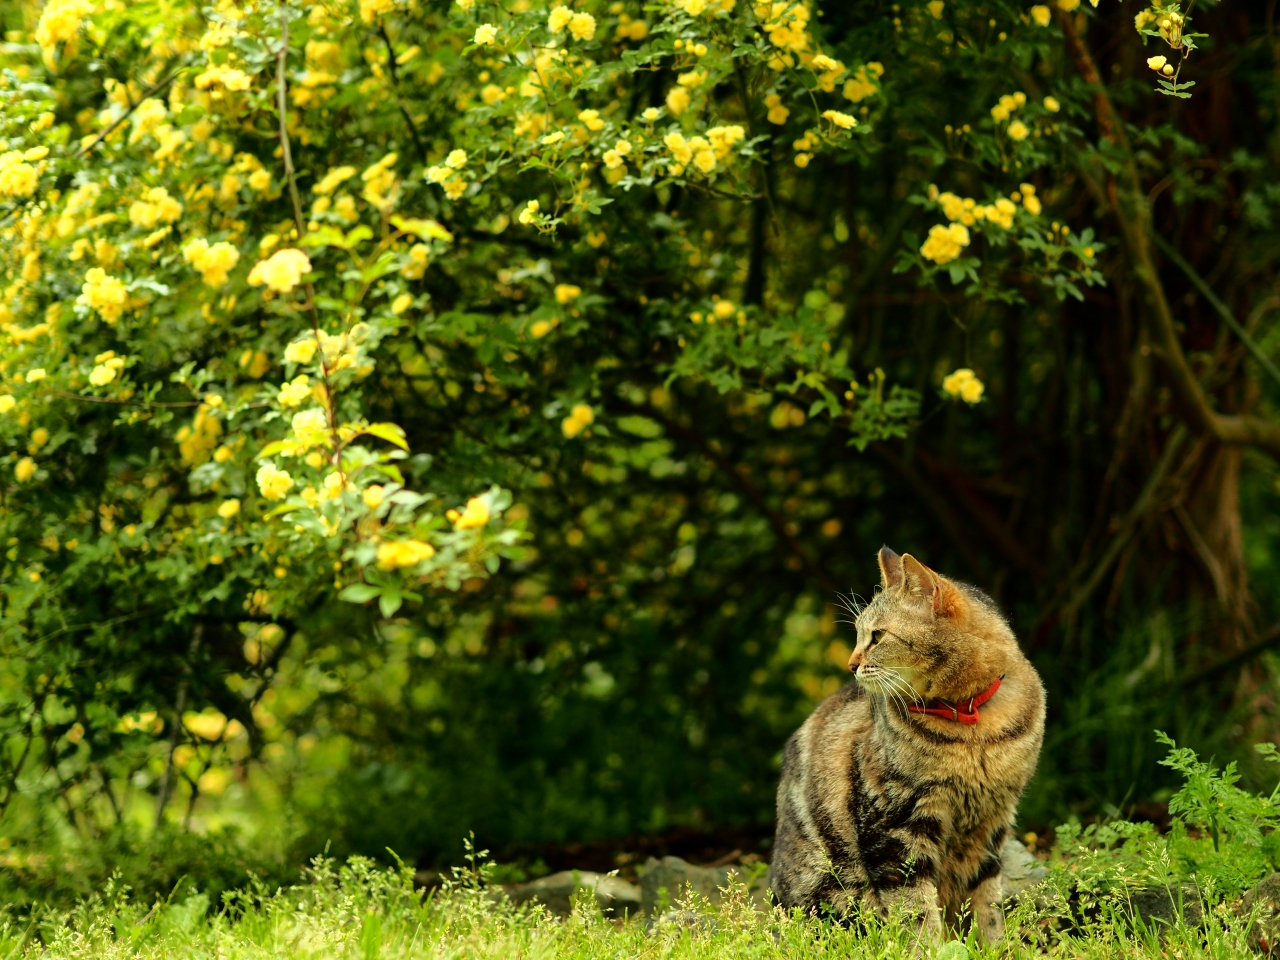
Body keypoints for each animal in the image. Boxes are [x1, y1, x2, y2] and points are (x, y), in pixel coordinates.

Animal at [762, 547, 1044, 947]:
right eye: (859, 634)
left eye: (877, 636)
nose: (850, 664)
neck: (970, 724)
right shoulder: (897, 824)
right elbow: (915, 908)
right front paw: (930, 948)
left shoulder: (992, 823)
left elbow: (986, 904)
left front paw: (994, 947)